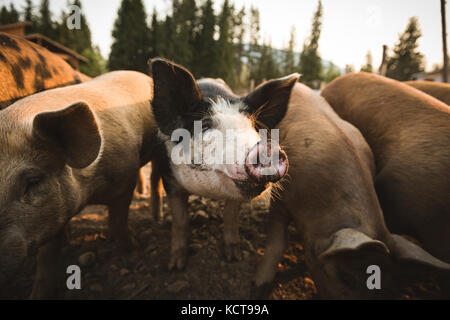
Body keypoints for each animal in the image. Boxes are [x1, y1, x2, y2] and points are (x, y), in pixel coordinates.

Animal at [0, 69, 158, 298]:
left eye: (33, 181)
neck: (89, 194)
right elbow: (46, 257)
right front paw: (38, 294)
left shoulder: (125, 176)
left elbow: (117, 220)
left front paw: (134, 249)